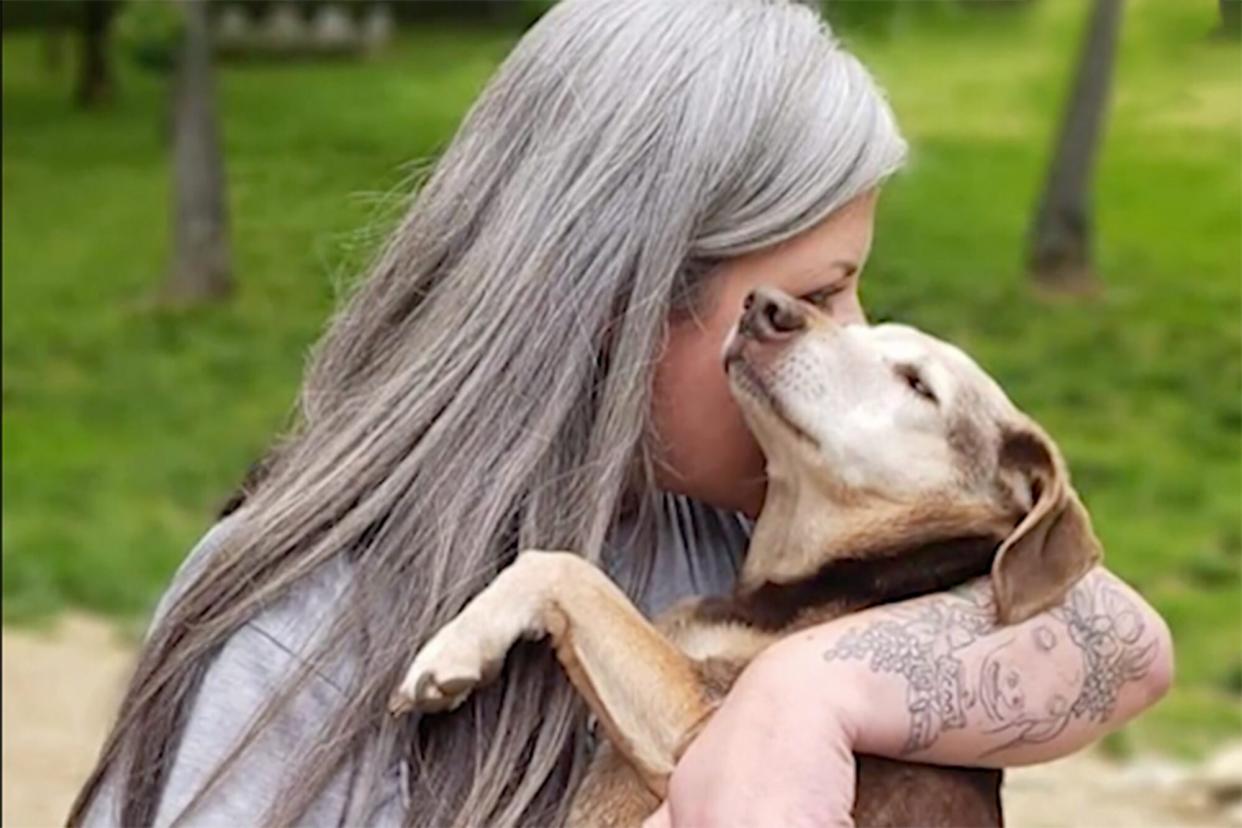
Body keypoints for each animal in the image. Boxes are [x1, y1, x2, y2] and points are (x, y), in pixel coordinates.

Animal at [385, 286, 1097, 828]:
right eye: (859, 329)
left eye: (918, 384)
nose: (767, 305)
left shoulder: (705, 732)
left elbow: (561, 565)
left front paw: (452, 653)